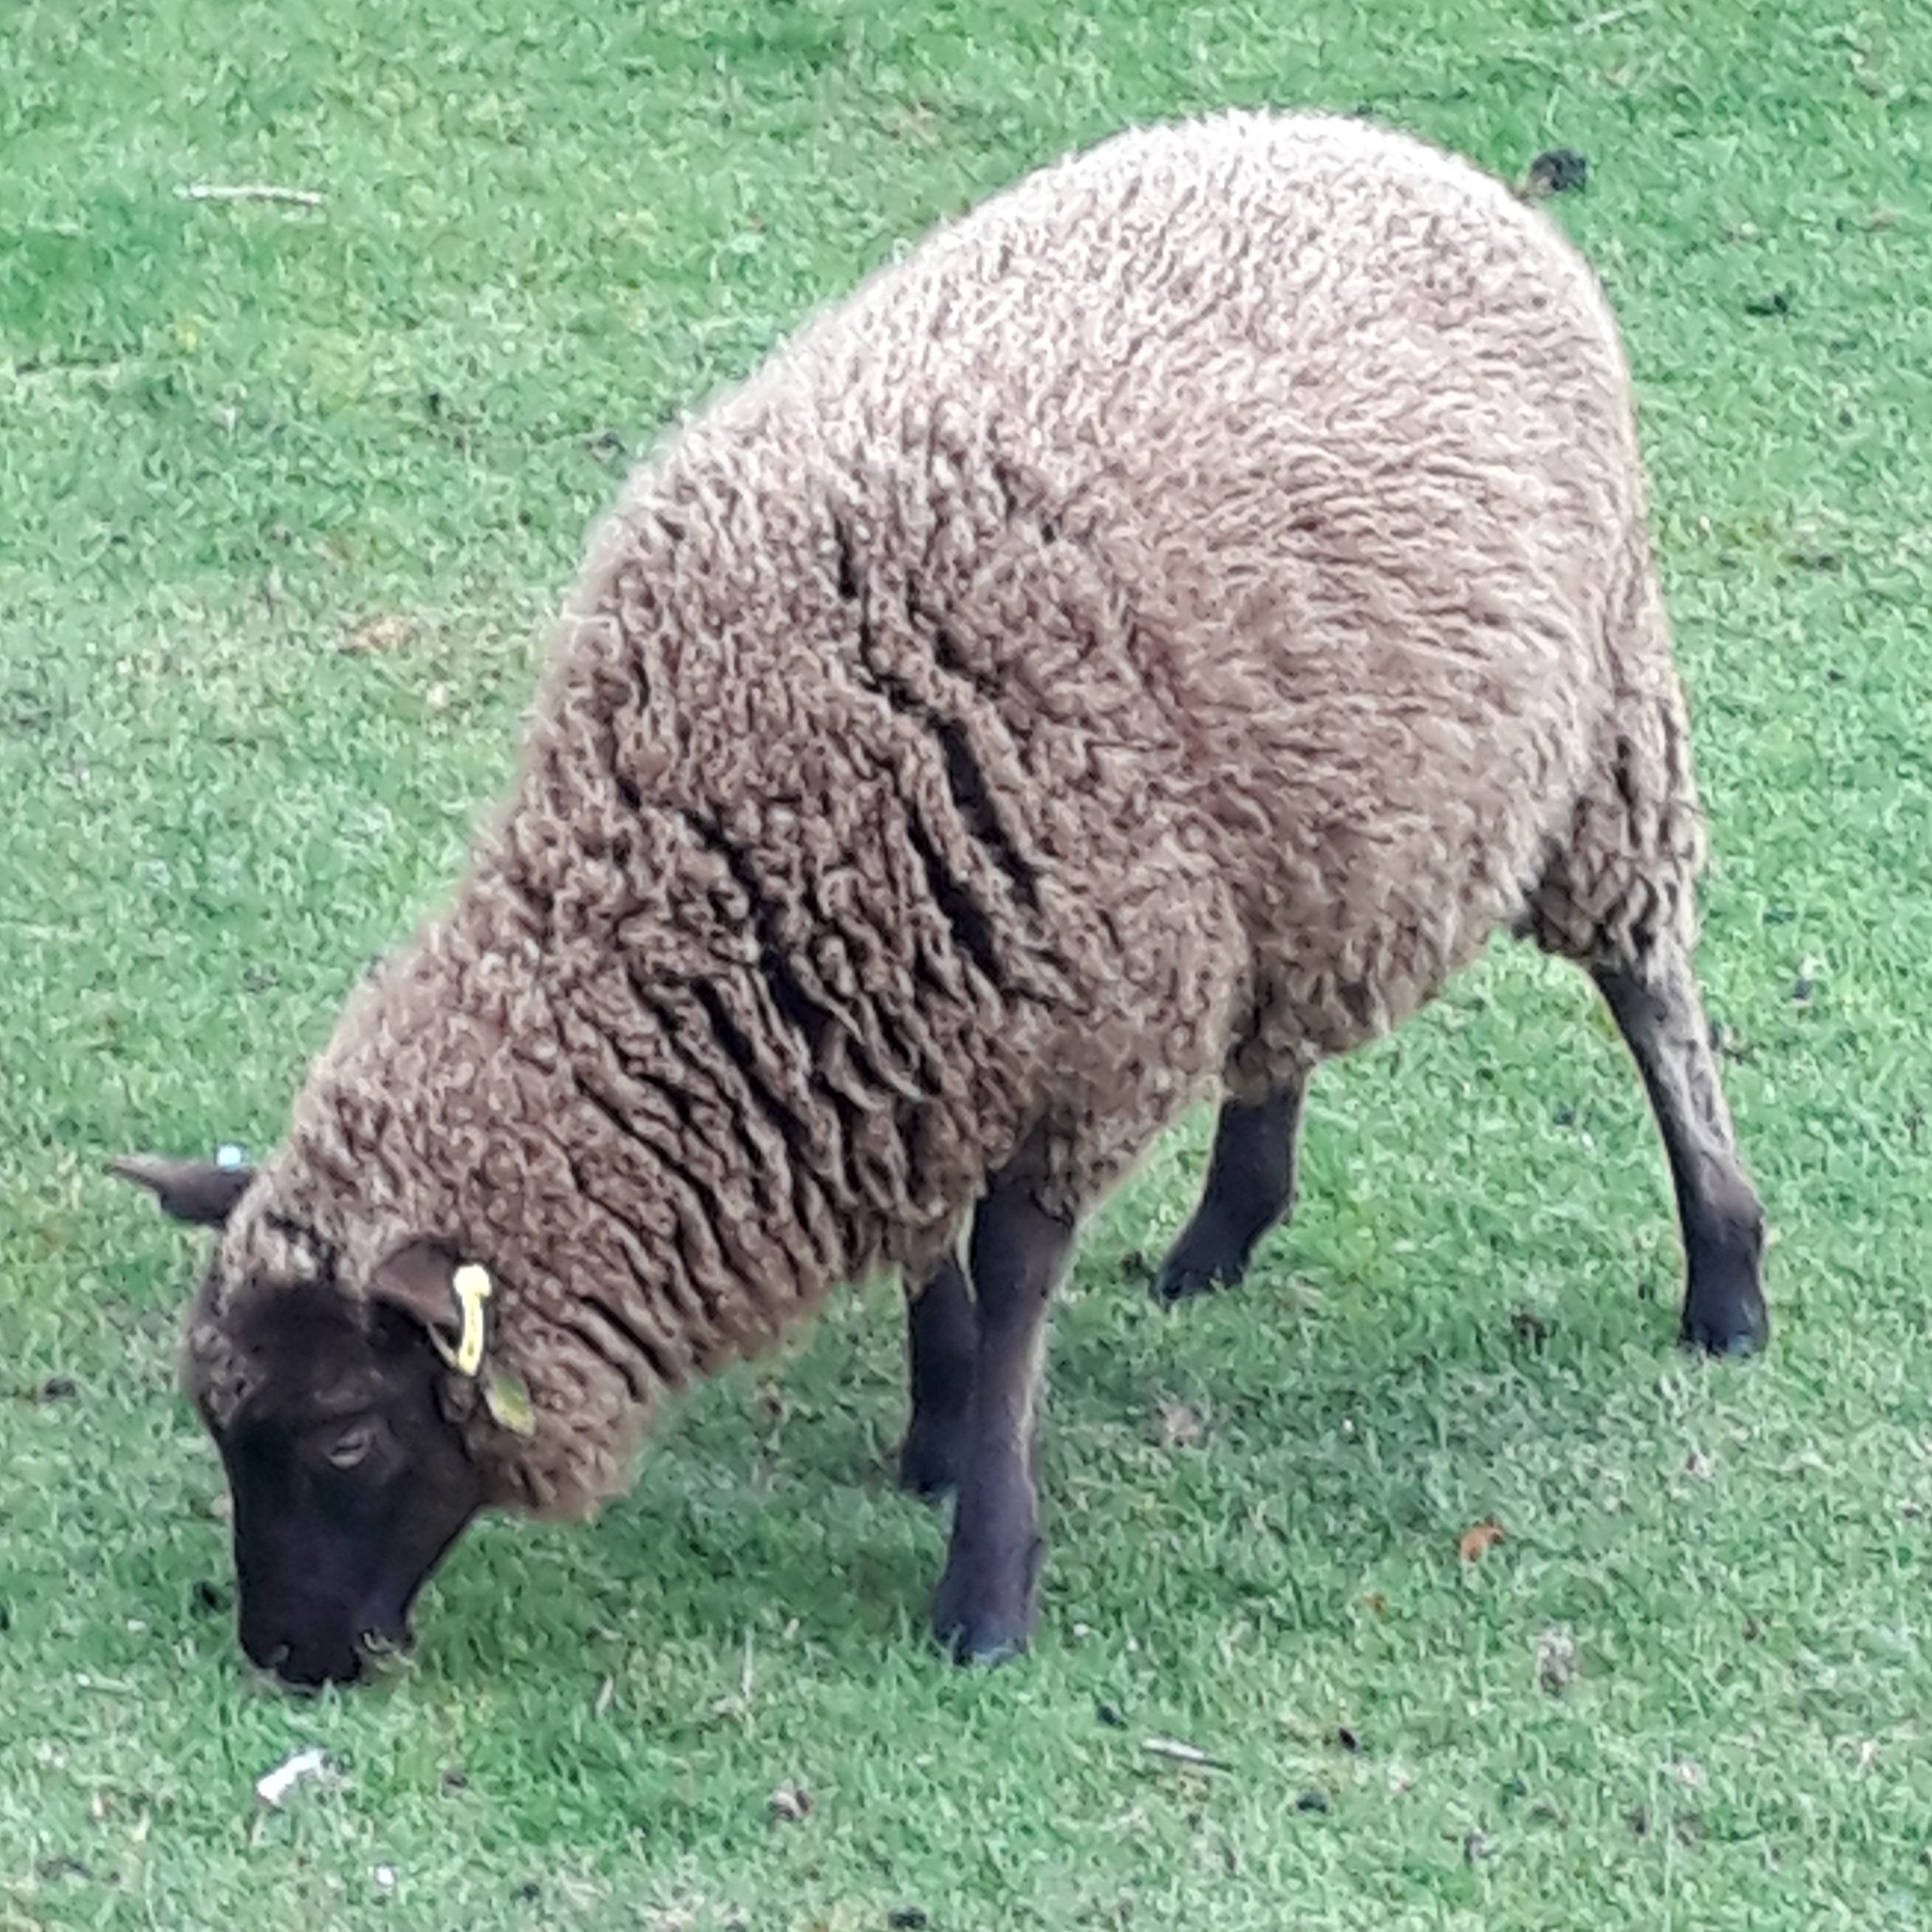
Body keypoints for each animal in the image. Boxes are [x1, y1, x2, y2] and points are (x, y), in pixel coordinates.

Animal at [109, 112, 1769, 1692]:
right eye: (222, 1427)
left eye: (342, 1433)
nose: (286, 1657)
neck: (723, 832)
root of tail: (1406, 155)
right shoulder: (901, 1014)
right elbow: (925, 1245)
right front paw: (935, 1424)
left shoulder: (1078, 1021)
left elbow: (1015, 1273)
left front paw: (985, 1574)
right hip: (1300, 830)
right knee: (1287, 1019)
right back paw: (1221, 1232)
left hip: (1605, 731)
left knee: (1651, 989)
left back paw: (1725, 1276)